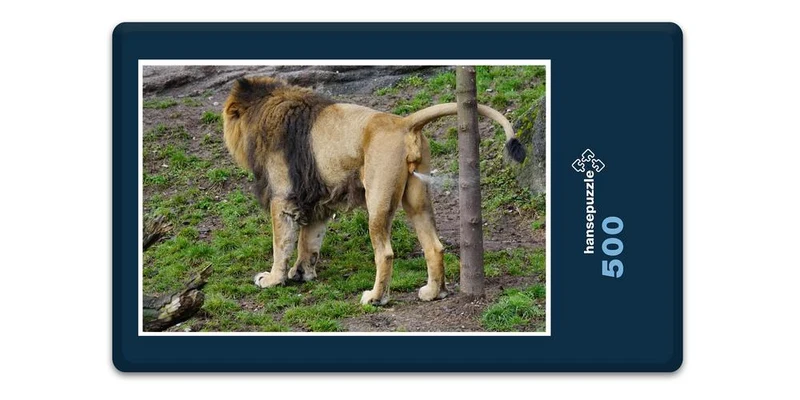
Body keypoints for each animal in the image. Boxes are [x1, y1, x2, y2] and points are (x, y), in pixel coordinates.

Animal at [222, 76, 526, 305]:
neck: (264, 108)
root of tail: (404, 123)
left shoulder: (283, 197)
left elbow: (282, 243)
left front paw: (273, 279)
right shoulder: (317, 200)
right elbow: (309, 241)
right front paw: (302, 273)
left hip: (378, 198)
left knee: (385, 253)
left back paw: (376, 298)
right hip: (417, 198)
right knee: (434, 246)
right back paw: (433, 292)